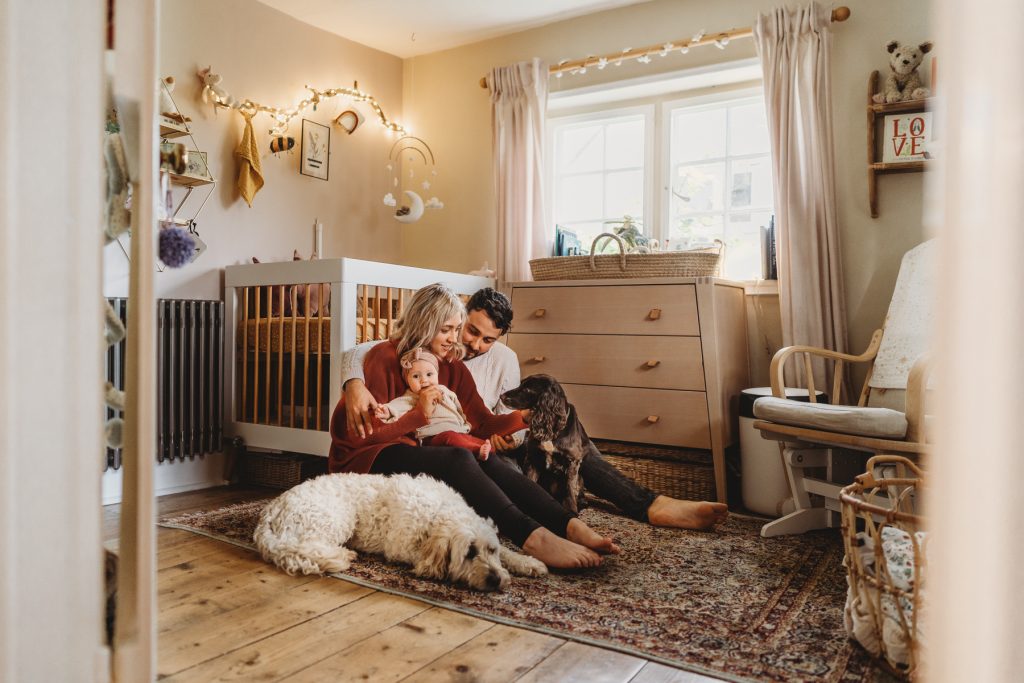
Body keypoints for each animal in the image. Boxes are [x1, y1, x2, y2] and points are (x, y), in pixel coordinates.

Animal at [252, 473, 548, 589]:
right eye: (468, 553)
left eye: (490, 549)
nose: (496, 580)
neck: (437, 513)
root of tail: (271, 509)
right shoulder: (404, 548)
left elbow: (509, 553)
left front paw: (528, 563)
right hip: (334, 519)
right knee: (304, 548)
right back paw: (342, 555)